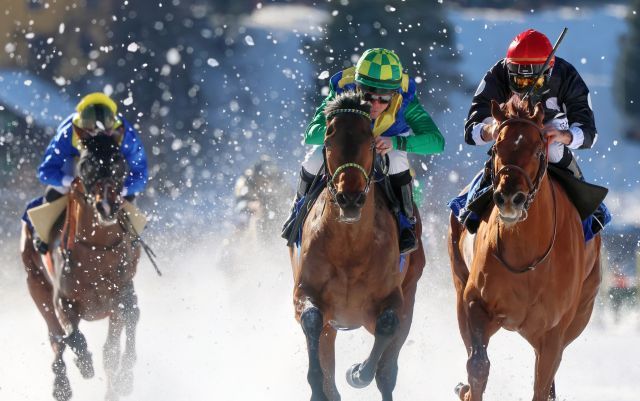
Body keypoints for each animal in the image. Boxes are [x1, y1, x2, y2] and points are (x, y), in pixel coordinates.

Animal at [21, 134, 141, 400]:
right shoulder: (63, 300)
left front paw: (123, 380)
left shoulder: (120, 294)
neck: (97, 250)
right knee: (56, 336)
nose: (107, 206)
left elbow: (116, 341)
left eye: (120, 162)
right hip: (35, 282)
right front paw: (84, 363)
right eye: (86, 165)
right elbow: (73, 337)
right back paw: (62, 384)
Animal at [290, 91, 424, 400]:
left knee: (388, 371)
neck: (350, 248)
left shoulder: (392, 298)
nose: (349, 198)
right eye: (328, 141)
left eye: (371, 142)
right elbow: (312, 320)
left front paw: (358, 372)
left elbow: (388, 325)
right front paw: (318, 388)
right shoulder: (305, 292)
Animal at [448, 97, 604, 400]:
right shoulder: (475, 302)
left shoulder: (553, 332)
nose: (510, 198)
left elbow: (542, 383)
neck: (526, 256)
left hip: (580, 313)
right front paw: (467, 389)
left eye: (537, 149)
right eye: (496, 147)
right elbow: (478, 365)